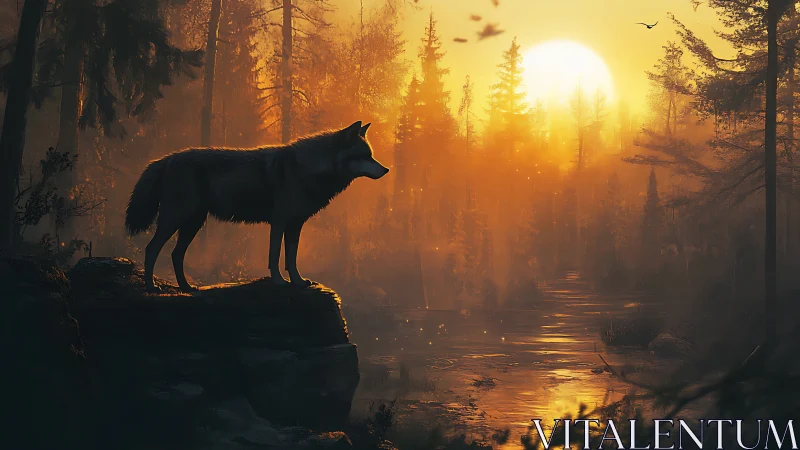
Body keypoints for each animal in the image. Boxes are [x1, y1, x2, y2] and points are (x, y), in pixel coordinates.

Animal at [125, 121, 388, 292]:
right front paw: (279, 282)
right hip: (175, 220)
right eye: (365, 156)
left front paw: (298, 282)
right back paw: (151, 287)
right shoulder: (279, 222)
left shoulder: (295, 225)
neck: (307, 168)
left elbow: (291, 258)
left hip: (192, 223)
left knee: (176, 254)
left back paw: (187, 287)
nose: (386, 169)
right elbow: (274, 256)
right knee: (151, 249)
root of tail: (166, 159)